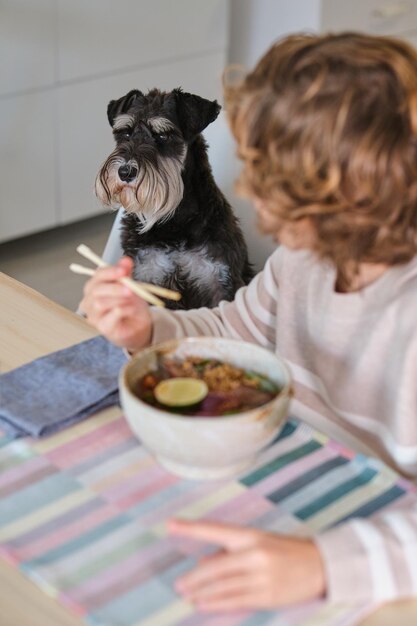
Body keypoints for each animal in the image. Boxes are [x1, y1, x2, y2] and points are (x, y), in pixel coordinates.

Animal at [95, 88, 252, 310]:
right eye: (125, 132)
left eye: (163, 135)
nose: (125, 172)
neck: (175, 220)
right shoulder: (146, 275)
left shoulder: (219, 281)